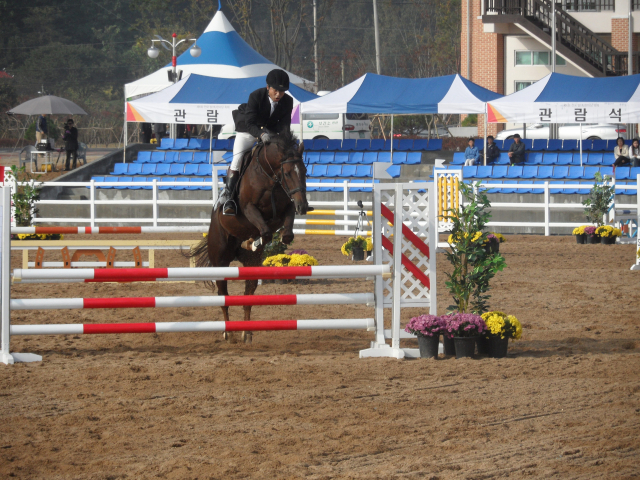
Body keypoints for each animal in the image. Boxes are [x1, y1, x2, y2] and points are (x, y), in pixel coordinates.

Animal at [188, 129, 310, 344]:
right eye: (287, 173)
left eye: (304, 171)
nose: (303, 206)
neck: (270, 177)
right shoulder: (248, 209)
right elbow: (266, 230)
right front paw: (255, 240)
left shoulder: (286, 208)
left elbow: (285, 232)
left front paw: (255, 241)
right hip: (220, 260)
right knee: (223, 296)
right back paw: (229, 333)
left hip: (250, 265)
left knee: (248, 295)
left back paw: (247, 332)